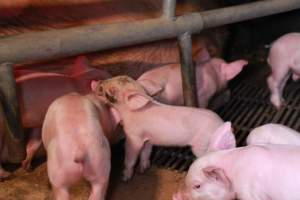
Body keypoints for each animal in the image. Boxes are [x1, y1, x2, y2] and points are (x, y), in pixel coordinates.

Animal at [91, 76, 234, 181]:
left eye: (111, 91)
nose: (95, 81)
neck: (130, 112)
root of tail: (221, 124)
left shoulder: (133, 136)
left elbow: (131, 156)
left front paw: (125, 178)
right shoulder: (148, 138)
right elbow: (146, 152)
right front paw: (143, 169)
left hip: (203, 144)